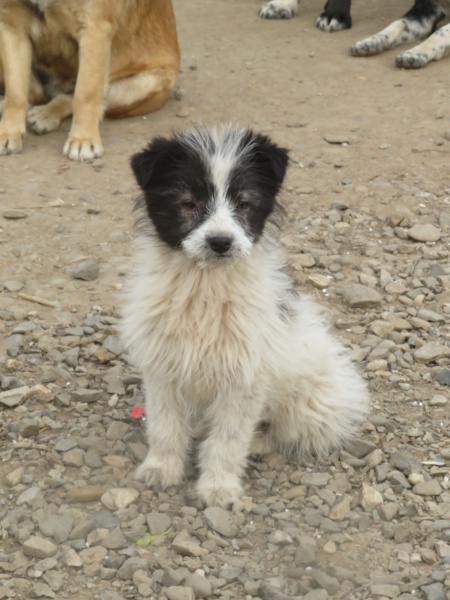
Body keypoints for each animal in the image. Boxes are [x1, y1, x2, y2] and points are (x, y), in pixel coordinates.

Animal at [0, 0, 179, 159]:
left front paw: (82, 139)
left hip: (147, 83)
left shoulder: (94, 31)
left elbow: (85, 94)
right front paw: (8, 132)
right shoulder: (11, 25)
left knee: (72, 98)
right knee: (35, 92)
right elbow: (15, 94)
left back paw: (46, 114)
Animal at [121, 125, 368, 506]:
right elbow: (165, 426)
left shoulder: (245, 378)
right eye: (188, 203)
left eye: (243, 203)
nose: (220, 242)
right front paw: (161, 468)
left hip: (311, 400)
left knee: (286, 431)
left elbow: (229, 438)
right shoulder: (163, 368)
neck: (205, 290)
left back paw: (260, 442)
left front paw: (218, 487)